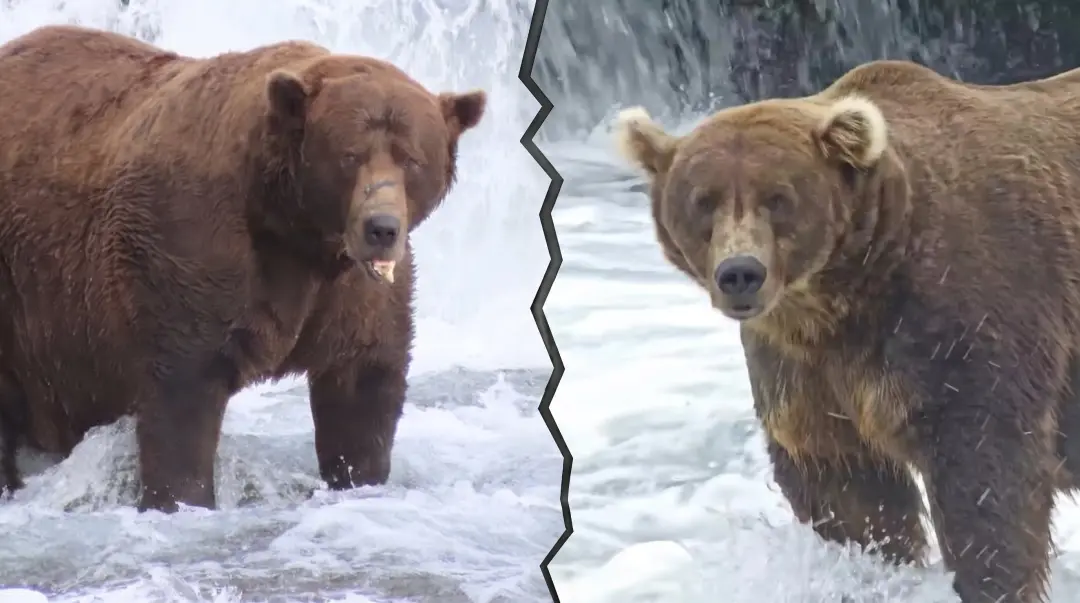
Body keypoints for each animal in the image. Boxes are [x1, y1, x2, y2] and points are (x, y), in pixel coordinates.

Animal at [0, 24, 486, 513]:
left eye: (411, 158)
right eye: (350, 155)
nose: (381, 227)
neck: (295, 229)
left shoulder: (352, 292)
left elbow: (362, 385)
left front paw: (358, 476)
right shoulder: (191, 248)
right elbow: (183, 397)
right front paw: (181, 497)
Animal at [612, 59, 1080, 603]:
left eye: (778, 197)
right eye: (703, 201)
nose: (740, 272)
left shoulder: (967, 317)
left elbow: (985, 476)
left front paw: (990, 579)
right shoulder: (803, 369)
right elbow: (848, 489)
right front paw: (870, 570)